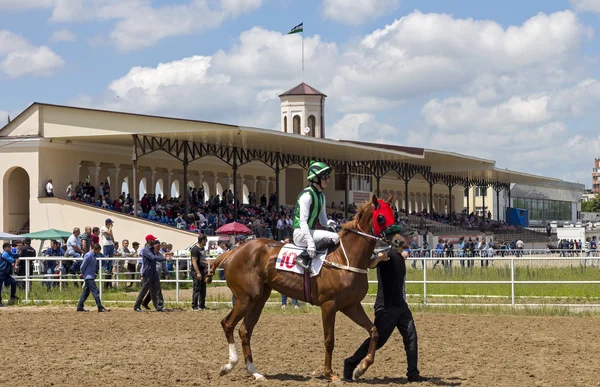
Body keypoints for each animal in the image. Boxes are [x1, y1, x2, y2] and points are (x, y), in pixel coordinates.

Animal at [209, 196, 396, 384]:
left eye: (393, 213)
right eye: (381, 217)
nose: (398, 240)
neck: (346, 259)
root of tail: (233, 251)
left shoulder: (351, 305)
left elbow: (374, 331)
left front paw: (361, 368)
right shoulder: (329, 305)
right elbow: (329, 340)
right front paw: (330, 373)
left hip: (259, 299)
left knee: (245, 330)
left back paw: (254, 372)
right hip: (245, 298)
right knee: (228, 324)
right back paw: (229, 365)